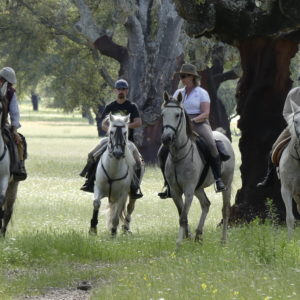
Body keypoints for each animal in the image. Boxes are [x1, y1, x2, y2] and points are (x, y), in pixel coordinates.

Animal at [162, 92, 234, 245]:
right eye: (163, 114)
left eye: (177, 115)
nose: (166, 138)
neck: (179, 156)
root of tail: (223, 137)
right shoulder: (176, 192)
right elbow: (182, 215)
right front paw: (186, 238)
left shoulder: (188, 190)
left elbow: (183, 217)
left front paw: (179, 243)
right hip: (198, 188)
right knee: (206, 204)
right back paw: (198, 235)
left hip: (227, 183)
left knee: (225, 210)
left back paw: (223, 240)